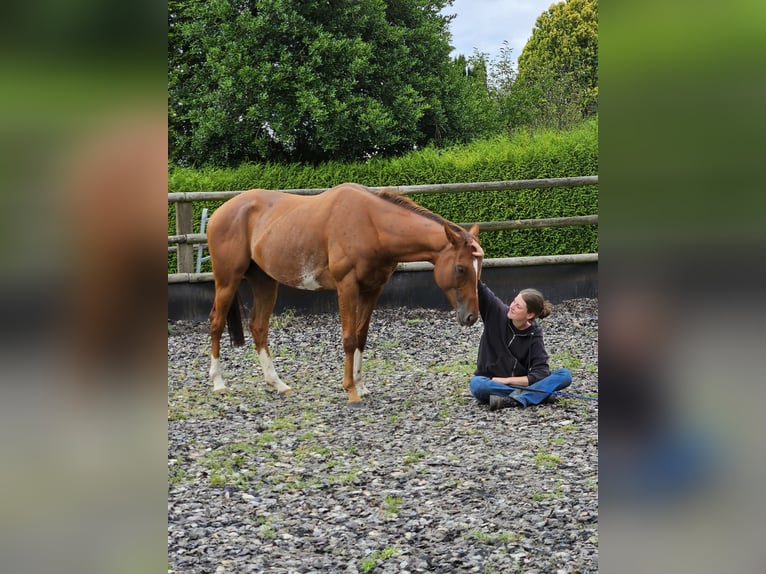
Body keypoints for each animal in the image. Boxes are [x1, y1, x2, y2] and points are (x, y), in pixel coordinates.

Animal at [204, 183, 480, 404]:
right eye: (461, 268)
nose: (471, 317)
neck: (372, 224)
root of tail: (220, 212)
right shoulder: (346, 286)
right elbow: (348, 338)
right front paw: (351, 390)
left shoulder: (372, 289)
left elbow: (361, 336)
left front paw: (361, 385)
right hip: (227, 280)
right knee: (216, 323)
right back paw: (218, 383)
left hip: (265, 282)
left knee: (259, 327)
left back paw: (278, 384)